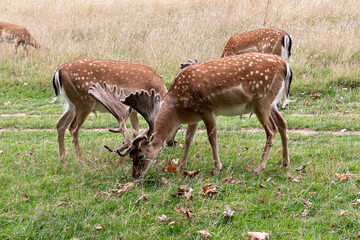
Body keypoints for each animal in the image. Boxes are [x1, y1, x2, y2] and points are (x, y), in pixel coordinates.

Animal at [89, 53, 292, 179]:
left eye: (139, 156)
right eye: (130, 157)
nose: (135, 175)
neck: (178, 109)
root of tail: (286, 66)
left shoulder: (207, 109)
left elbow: (212, 137)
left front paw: (217, 168)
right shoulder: (195, 117)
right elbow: (188, 139)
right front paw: (181, 166)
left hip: (261, 101)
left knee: (271, 130)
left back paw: (259, 168)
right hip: (272, 103)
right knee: (282, 124)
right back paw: (284, 162)